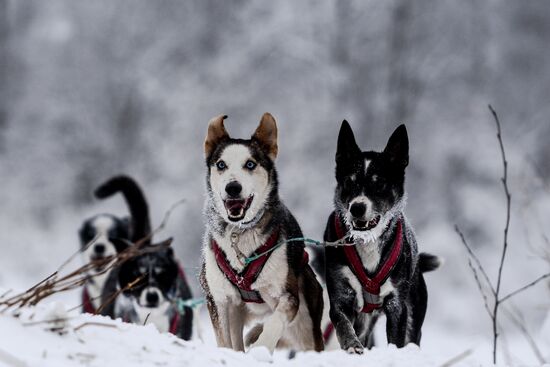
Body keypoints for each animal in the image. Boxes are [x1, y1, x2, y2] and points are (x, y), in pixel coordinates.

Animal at [201, 113, 326, 354]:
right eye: (221, 164)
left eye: (250, 164)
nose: (232, 187)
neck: (239, 233)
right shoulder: (219, 299)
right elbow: (224, 341)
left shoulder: (287, 296)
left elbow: (275, 322)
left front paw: (261, 347)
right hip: (236, 311)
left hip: (306, 322)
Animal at [326, 122, 442, 356]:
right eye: (349, 182)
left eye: (378, 185)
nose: (357, 208)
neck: (367, 241)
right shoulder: (341, 294)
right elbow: (343, 324)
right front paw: (352, 346)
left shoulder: (397, 305)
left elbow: (396, 338)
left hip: (415, 311)